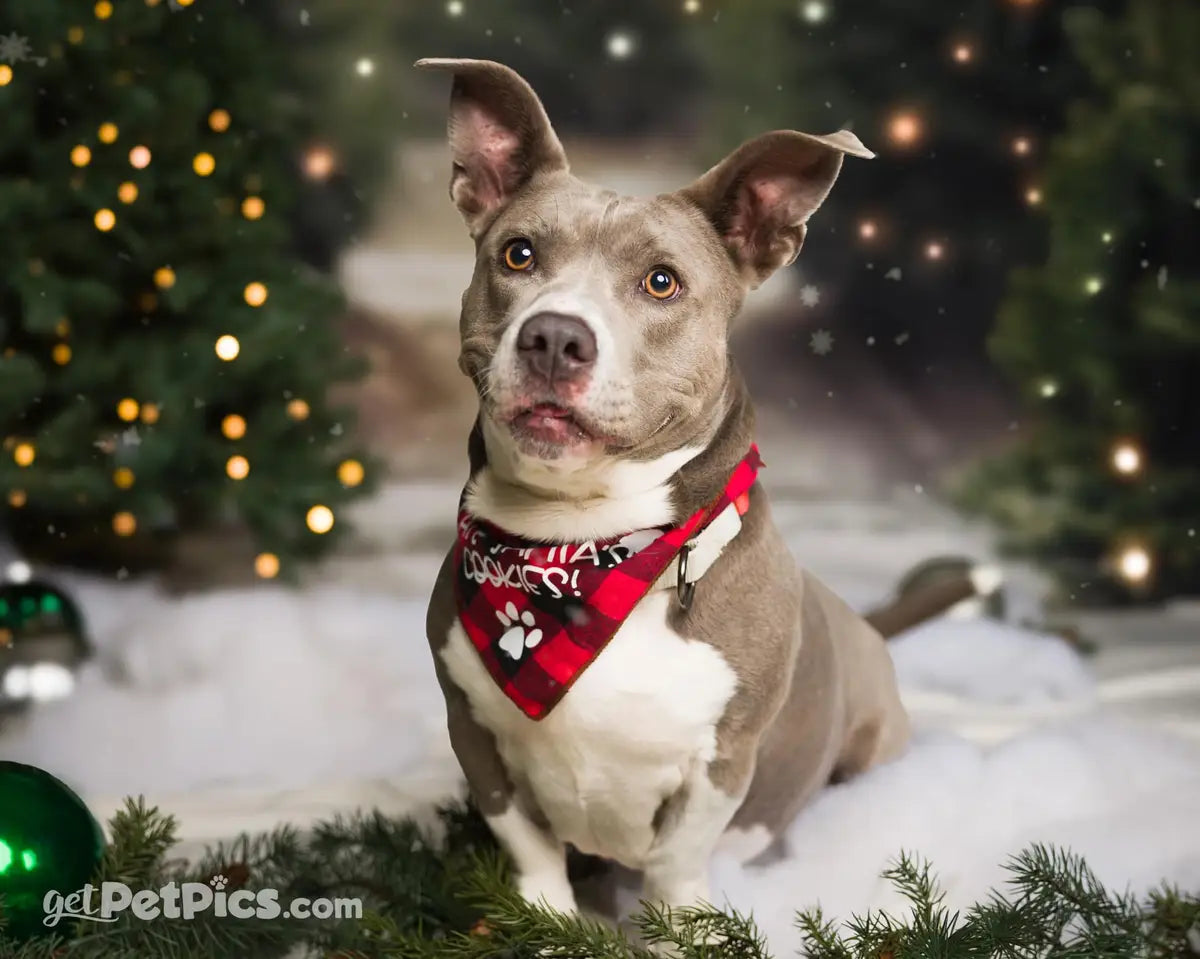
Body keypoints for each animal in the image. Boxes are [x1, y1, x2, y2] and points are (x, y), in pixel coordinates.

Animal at [417, 58, 921, 916]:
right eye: (518, 255)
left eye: (661, 283)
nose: (554, 336)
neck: (577, 547)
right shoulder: (472, 734)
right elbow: (529, 847)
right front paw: (551, 920)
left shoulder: (721, 760)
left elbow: (675, 859)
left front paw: (684, 924)